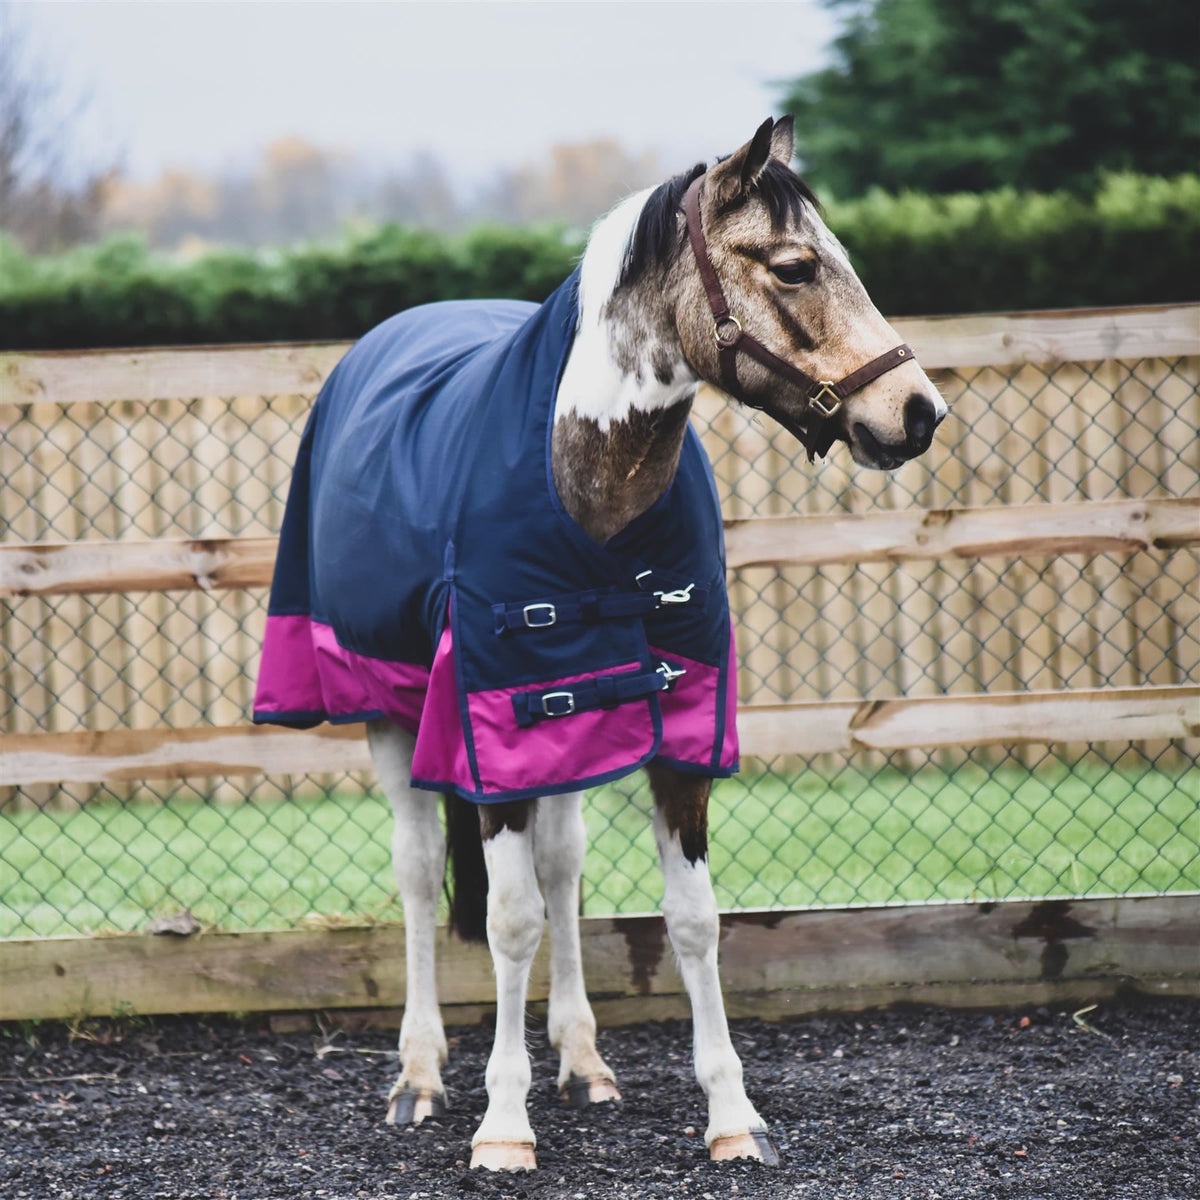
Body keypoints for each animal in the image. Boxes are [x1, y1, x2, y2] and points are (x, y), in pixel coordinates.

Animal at [253, 116, 946, 1172]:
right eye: (793, 267)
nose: (917, 411)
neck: (591, 490)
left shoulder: (673, 728)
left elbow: (690, 920)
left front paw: (731, 1116)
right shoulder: (490, 728)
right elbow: (506, 920)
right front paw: (503, 1125)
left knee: (562, 866)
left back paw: (583, 1062)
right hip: (392, 716)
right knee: (418, 874)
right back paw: (418, 1076)